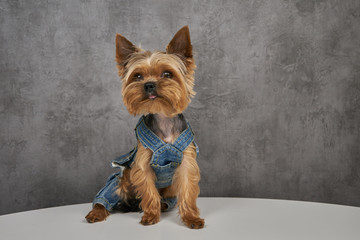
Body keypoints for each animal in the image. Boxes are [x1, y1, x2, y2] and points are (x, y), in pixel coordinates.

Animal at [83, 25, 202, 229]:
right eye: (138, 76)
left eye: (167, 74)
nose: (149, 84)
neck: (163, 119)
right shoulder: (142, 163)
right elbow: (148, 191)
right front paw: (151, 215)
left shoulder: (187, 161)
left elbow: (187, 190)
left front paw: (191, 218)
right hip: (117, 181)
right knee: (104, 198)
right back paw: (95, 213)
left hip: (168, 193)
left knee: (166, 200)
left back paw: (162, 206)